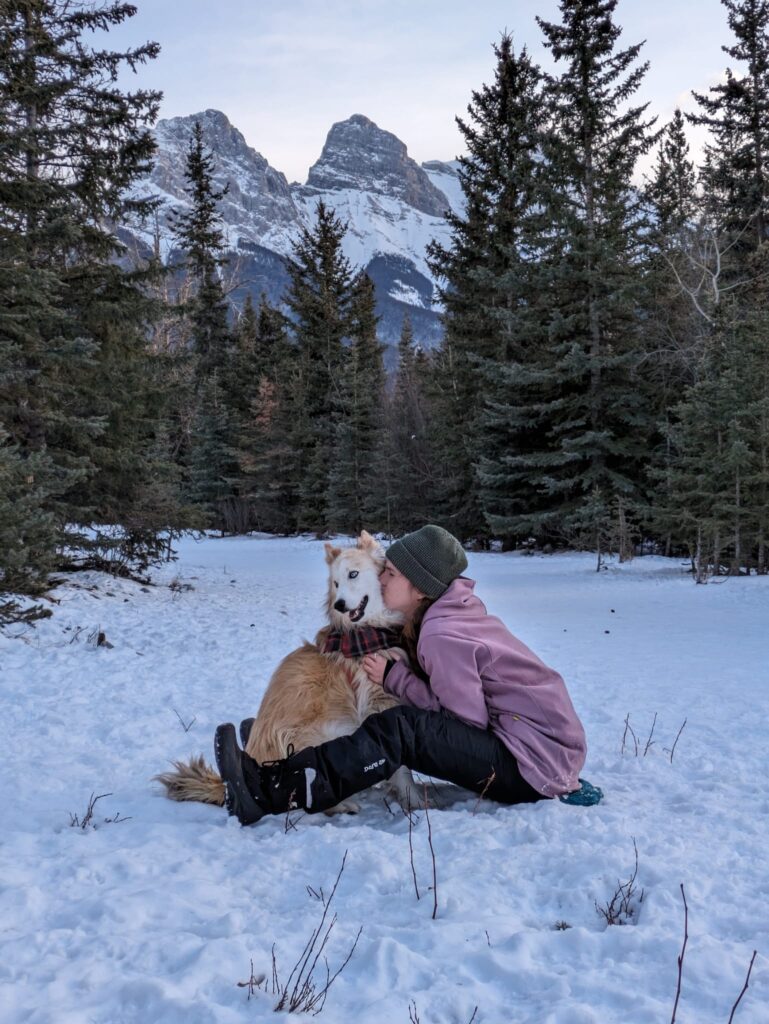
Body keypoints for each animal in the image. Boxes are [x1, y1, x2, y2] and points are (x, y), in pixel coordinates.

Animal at [156, 532, 421, 811]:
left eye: (353, 574)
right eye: (336, 583)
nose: (339, 605)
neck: (368, 633)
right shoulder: (379, 704)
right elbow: (402, 765)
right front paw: (415, 801)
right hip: (321, 734)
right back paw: (341, 805)